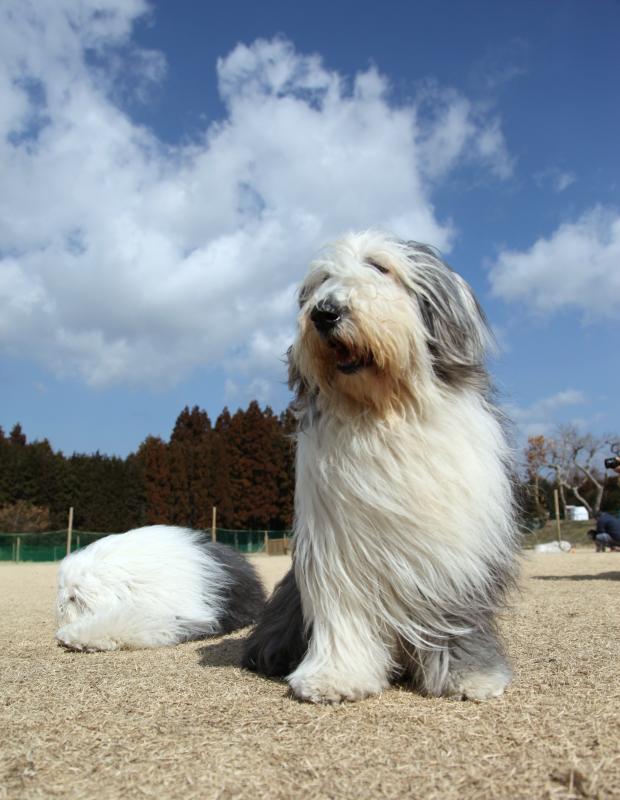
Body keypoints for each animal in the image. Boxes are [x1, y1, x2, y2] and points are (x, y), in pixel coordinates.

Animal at [243, 230, 519, 703]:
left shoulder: (453, 549)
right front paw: (334, 678)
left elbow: (456, 616)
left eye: (380, 267)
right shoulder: (338, 548)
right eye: (322, 280)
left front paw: (471, 677)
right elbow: (344, 614)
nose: (325, 313)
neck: (383, 413)